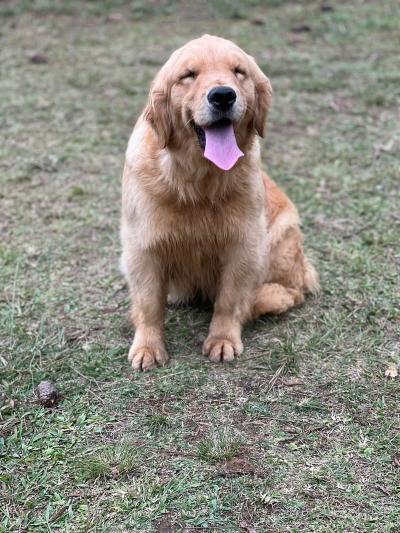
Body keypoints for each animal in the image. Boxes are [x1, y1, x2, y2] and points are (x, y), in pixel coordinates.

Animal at [120, 33, 318, 370]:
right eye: (188, 75)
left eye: (239, 71)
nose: (223, 96)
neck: (198, 182)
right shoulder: (142, 247)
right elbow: (148, 304)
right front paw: (148, 347)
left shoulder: (244, 245)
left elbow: (229, 300)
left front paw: (222, 340)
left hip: (280, 239)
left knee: (291, 291)